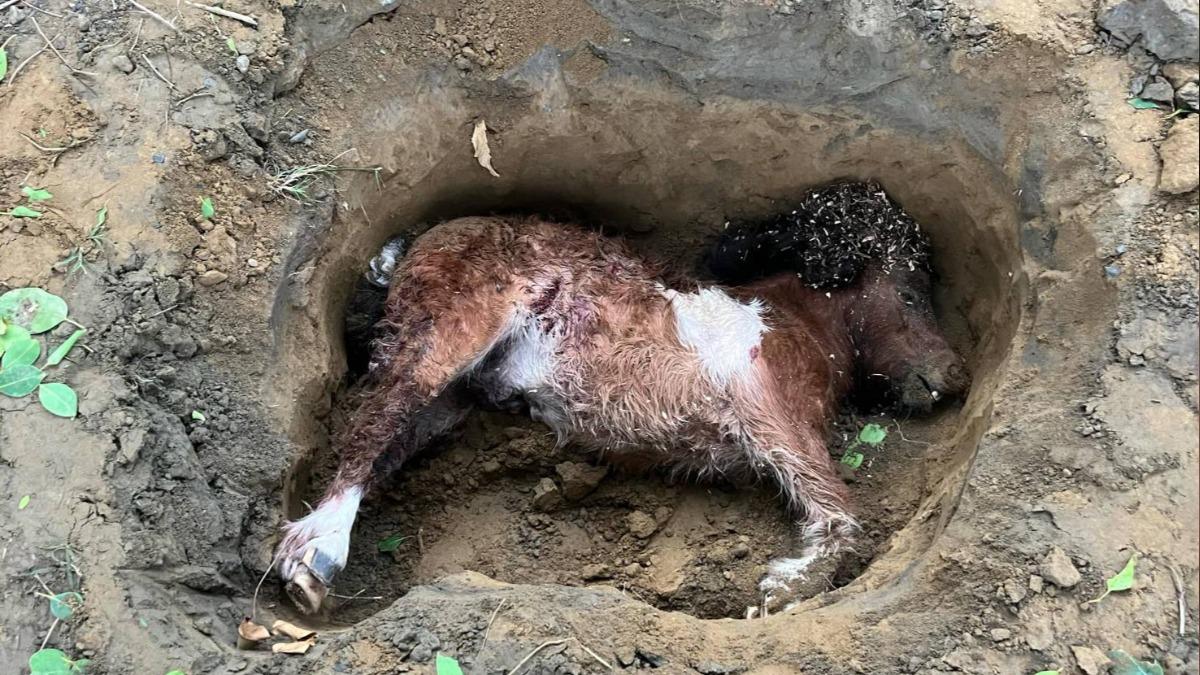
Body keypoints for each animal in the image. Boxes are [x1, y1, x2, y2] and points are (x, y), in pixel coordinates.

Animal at [275, 182, 970, 615]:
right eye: (911, 293)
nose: (955, 376)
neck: (791, 320)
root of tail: (421, 236)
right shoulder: (770, 413)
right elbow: (843, 516)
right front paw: (785, 587)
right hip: (444, 335)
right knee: (369, 427)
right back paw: (317, 553)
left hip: (450, 396)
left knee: (390, 442)